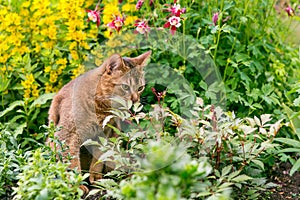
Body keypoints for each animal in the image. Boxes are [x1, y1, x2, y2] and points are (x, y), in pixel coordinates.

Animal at [47, 50, 151, 193]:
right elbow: (71, 163)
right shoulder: (67, 136)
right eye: (125, 87)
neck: (100, 108)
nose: (135, 100)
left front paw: (96, 177)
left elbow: (99, 156)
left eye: (140, 88)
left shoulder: (106, 131)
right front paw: (76, 185)